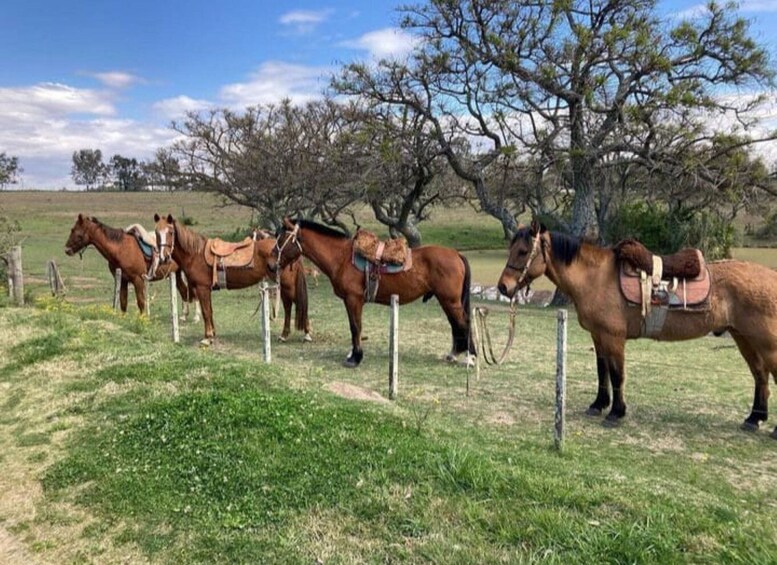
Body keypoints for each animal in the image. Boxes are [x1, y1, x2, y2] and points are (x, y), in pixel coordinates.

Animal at [64, 213, 199, 320]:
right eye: (71, 230)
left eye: (78, 233)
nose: (67, 250)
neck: (121, 249)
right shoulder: (123, 280)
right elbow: (123, 302)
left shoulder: (138, 280)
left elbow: (141, 302)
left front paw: (143, 320)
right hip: (176, 273)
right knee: (184, 291)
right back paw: (184, 316)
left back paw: (196, 317)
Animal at [152, 213, 310, 342]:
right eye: (156, 233)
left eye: (171, 232)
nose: (163, 257)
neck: (196, 254)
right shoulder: (205, 290)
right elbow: (209, 311)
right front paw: (212, 334)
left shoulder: (202, 288)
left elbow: (205, 311)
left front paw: (207, 337)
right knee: (289, 306)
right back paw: (285, 335)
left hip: (288, 285)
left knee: (296, 303)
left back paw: (306, 333)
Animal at [272, 216, 472, 366]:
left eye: (281, 239)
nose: (272, 263)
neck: (342, 258)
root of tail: (456, 254)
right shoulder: (350, 301)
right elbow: (354, 327)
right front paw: (353, 354)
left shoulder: (353, 299)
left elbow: (355, 327)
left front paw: (355, 358)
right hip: (447, 301)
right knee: (455, 324)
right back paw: (454, 354)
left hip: (450, 301)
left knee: (464, 323)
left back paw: (469, 358)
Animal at [498, 218, 776, 438]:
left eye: (523, 251)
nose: (503, 287)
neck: (596, 278)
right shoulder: (598, 337)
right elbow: (602, 372)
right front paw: (598, 405)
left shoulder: (613, 338)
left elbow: (617, 375)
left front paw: (616, 412)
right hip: (744, 339)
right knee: (760, 375)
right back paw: (754, 418)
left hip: (765, 343)